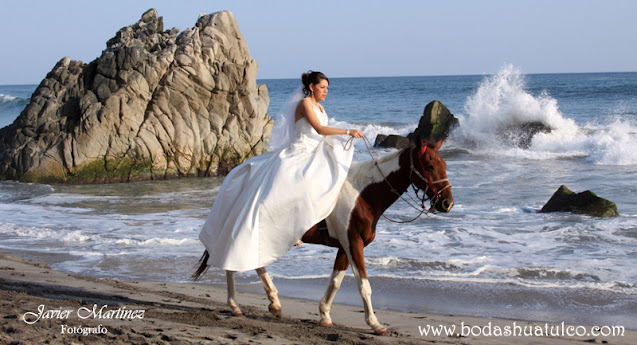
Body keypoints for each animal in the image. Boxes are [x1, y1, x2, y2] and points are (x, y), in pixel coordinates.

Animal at [190, 137, 452, 334]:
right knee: (233, 262)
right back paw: (236, 305)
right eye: (429, 165)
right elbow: (364, 285)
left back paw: (272, 303)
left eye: (445, 165)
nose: (447, 203)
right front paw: (375, 324)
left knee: (251, 262)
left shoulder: (345, 246)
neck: (363, 193)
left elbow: (336, 281)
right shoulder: (353, 243)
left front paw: (325, 314)